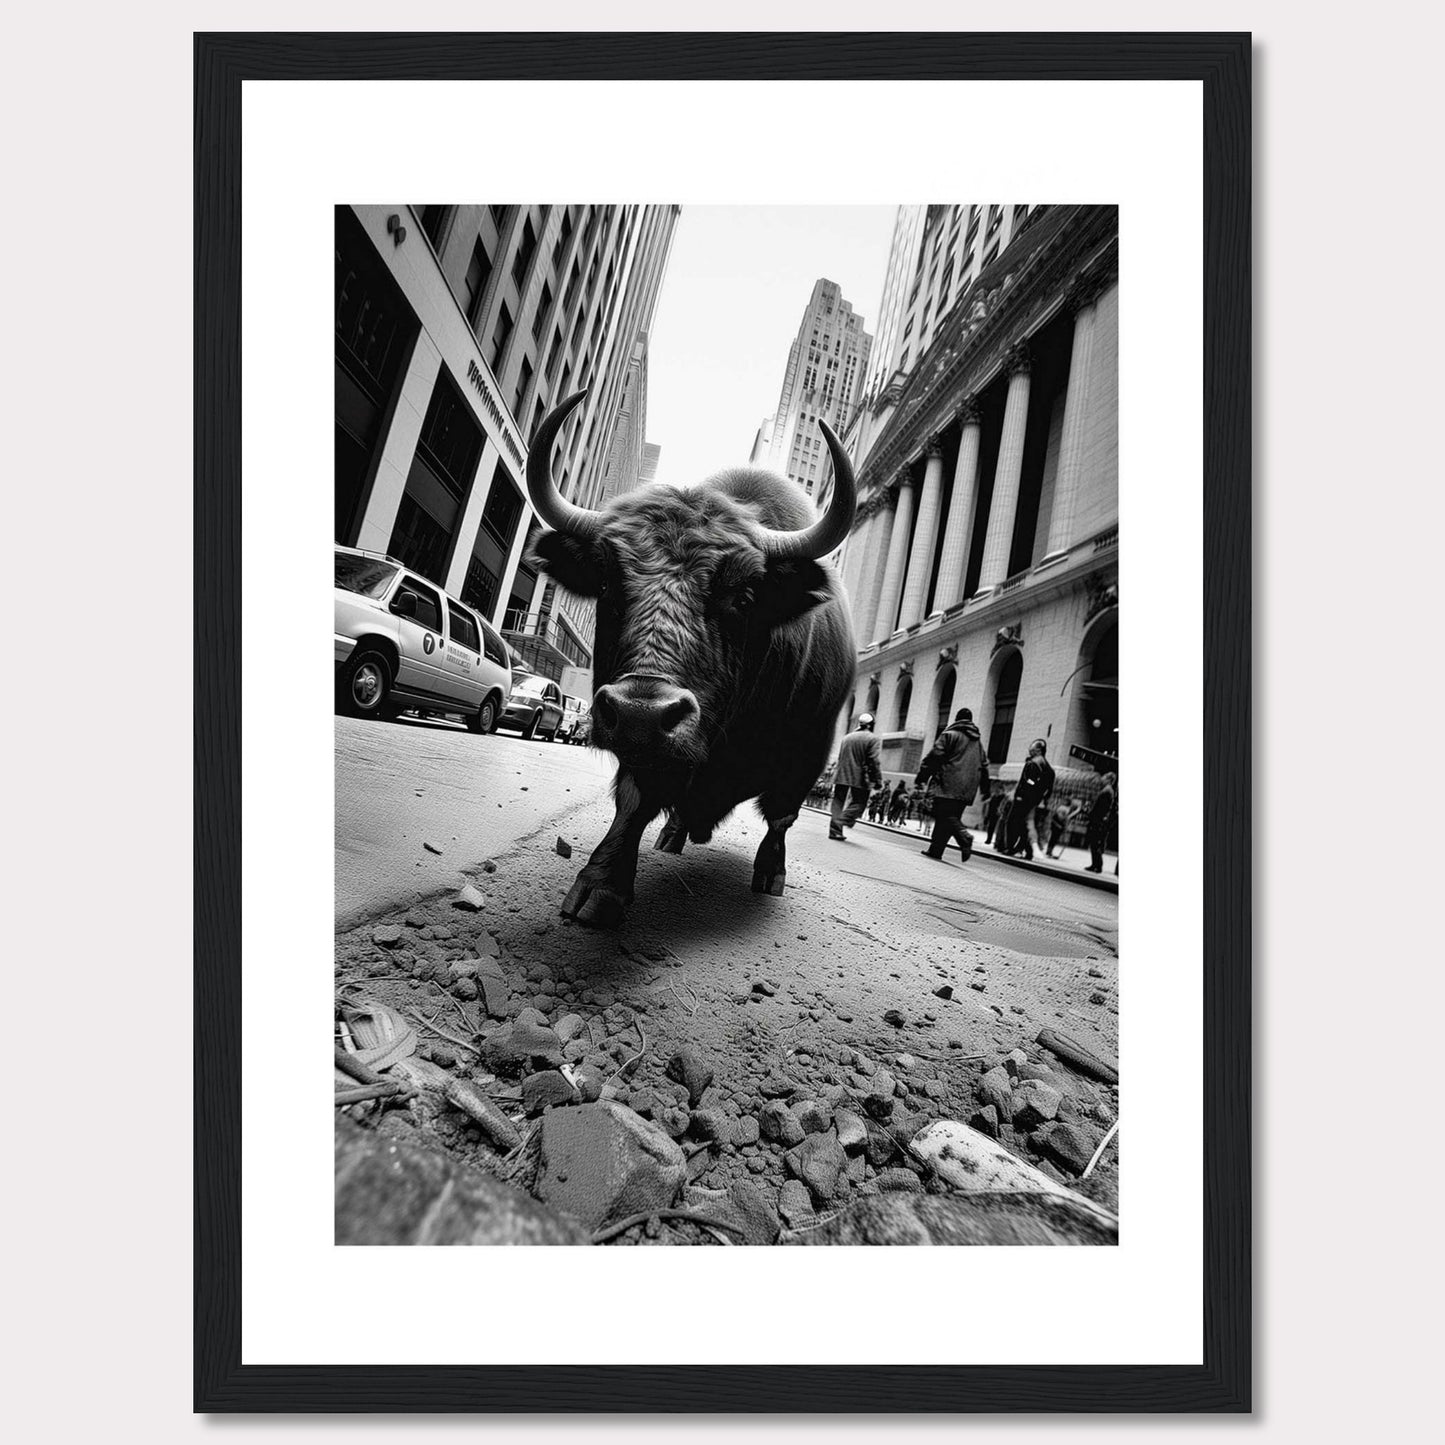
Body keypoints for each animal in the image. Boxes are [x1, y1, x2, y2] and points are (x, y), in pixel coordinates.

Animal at [528, 390, 855, 924]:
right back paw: (672, 835)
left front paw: (771, 874)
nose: (640, 712)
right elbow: (633, 802)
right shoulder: (646, 752)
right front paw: (601, 886)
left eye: (743, 596)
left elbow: (782, 817)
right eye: (606, 585)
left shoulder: (811, 747)